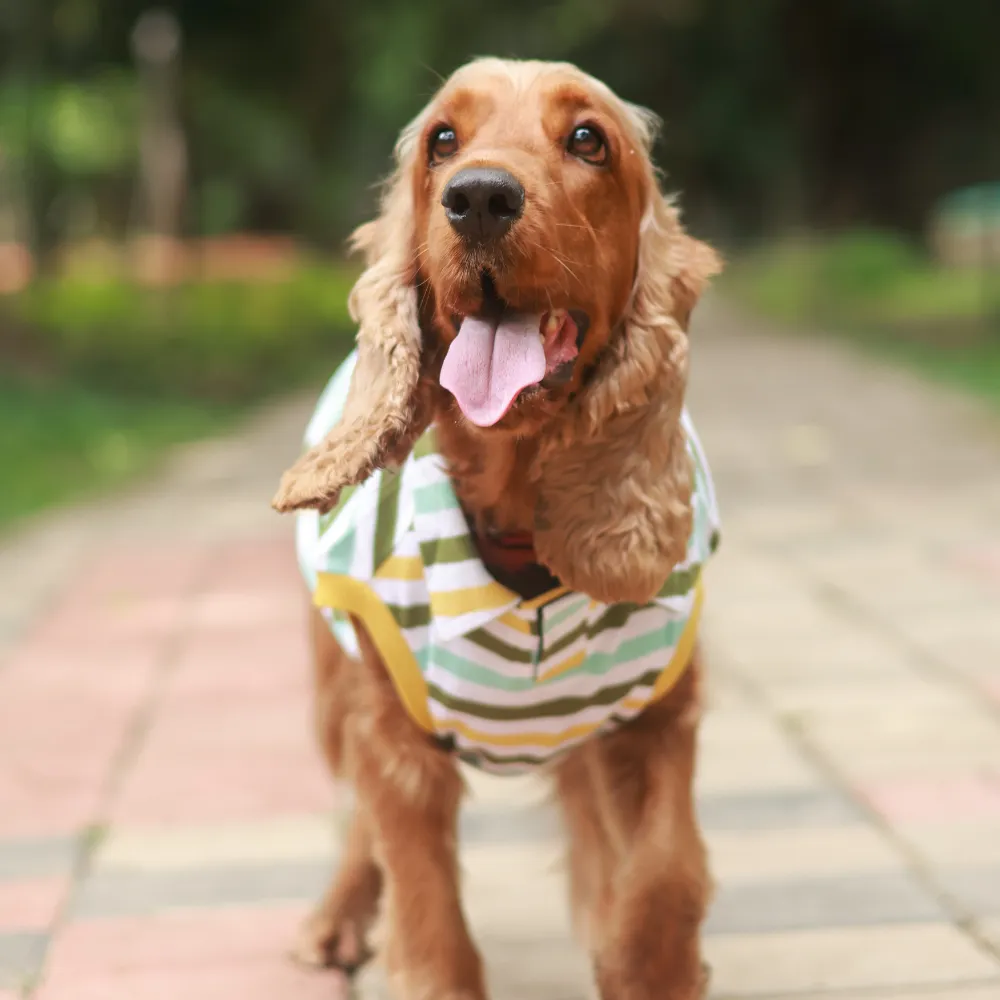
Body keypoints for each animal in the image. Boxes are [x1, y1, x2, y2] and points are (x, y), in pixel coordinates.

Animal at [274, 56, 724, 1000]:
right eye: (443, 140)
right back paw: (337, 919)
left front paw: (644, 962)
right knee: (359, 820)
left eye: (589, 139)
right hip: (335, 686)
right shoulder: (392, 732)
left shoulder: (660, 712)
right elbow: (426, 909)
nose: (478, 196)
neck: (522, 528)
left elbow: (666, 870)